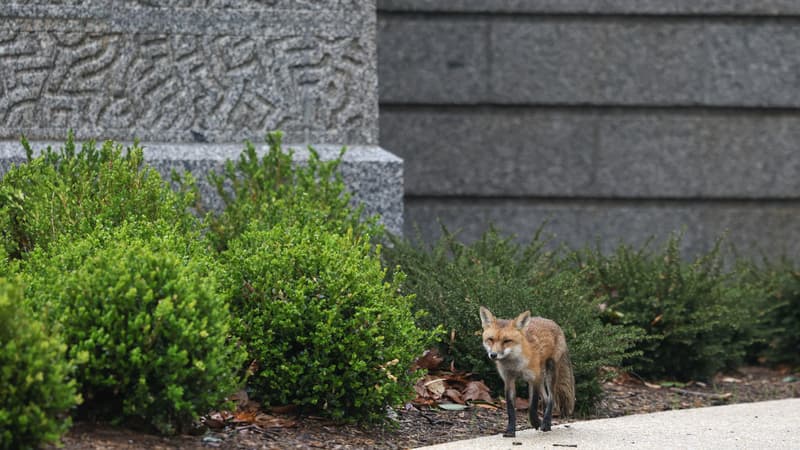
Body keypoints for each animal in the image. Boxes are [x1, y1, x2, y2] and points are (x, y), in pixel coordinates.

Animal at [482, 306, 576, 436]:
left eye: (507, 341)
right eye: (490, 339)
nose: (493, 355)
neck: (516, 365)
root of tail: (552, 322)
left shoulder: (533, 379)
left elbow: (532, 406)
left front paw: (536, 422)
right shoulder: (509, 380)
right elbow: (510, 409)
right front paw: (510, 431)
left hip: (549, 373)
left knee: (551, 399)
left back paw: (546, 424)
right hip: (541, 378)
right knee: (546, 399)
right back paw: (546, 422)